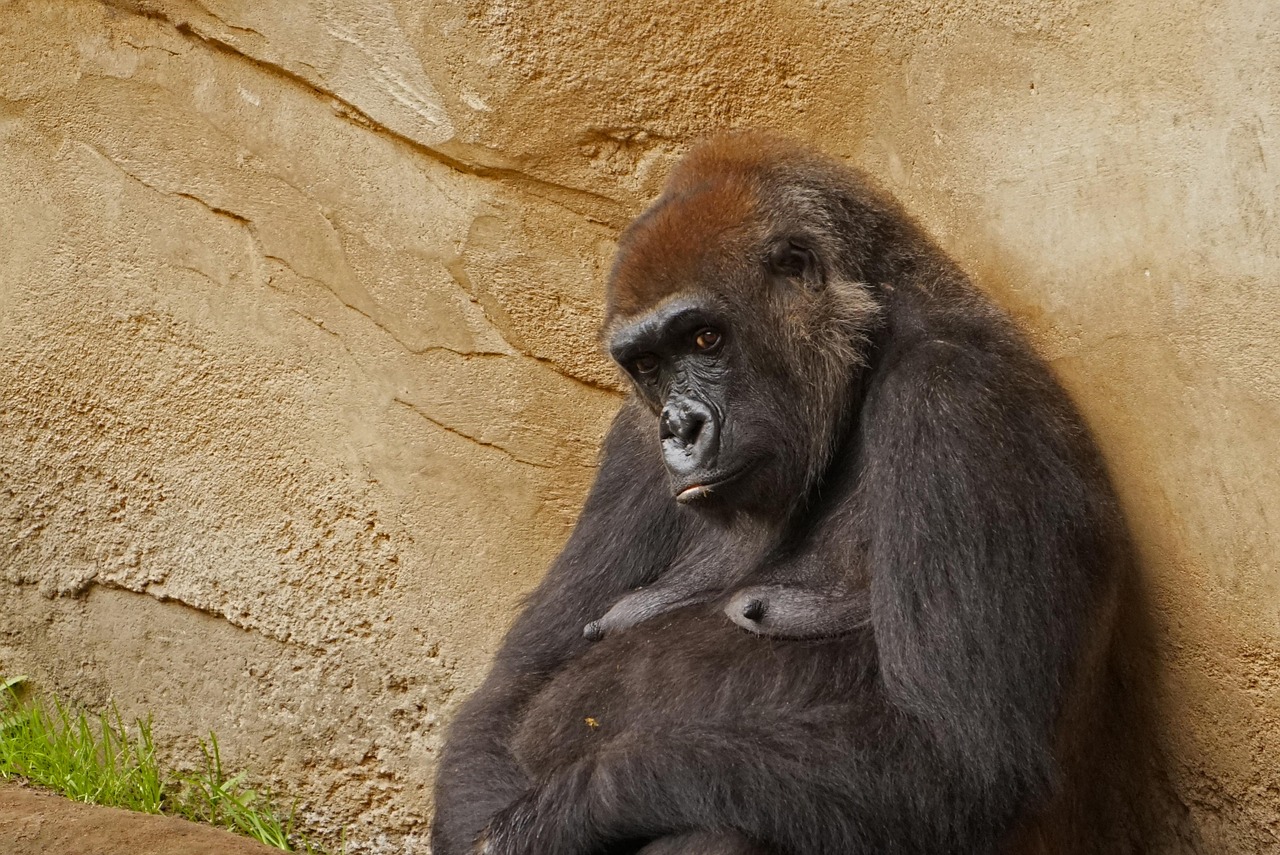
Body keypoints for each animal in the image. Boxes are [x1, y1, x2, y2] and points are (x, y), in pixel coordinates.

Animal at [430, 131, 1128, 855]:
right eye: (648, 365)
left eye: (705, 337)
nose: (679, 428)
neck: (861, 364)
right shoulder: (632, 442)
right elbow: (507, 696)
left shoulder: (953, 398)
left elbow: (955, 755)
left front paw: (556, 814)